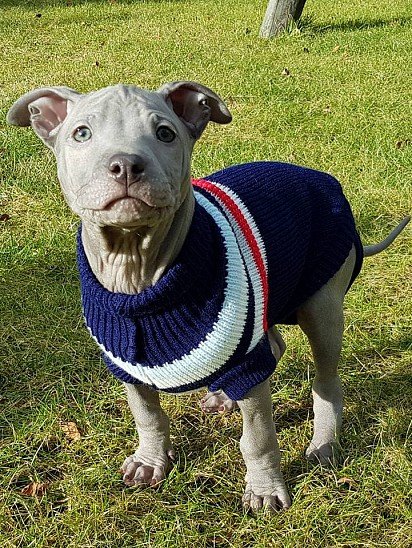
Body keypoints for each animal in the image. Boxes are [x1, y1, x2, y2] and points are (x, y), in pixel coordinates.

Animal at [8, 81, 410, 512]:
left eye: (165, 133)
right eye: (81, 133)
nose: (126, 166)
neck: (138, 274)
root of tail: (324, 179)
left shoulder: (248, 362)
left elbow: (258, 438)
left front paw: (265, 489)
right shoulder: (126, 363)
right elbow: (147, 415)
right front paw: (150, 461)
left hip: (322, 306)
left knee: (326, 380)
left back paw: (324, 443)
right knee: (275, 344)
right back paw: (225, 397)